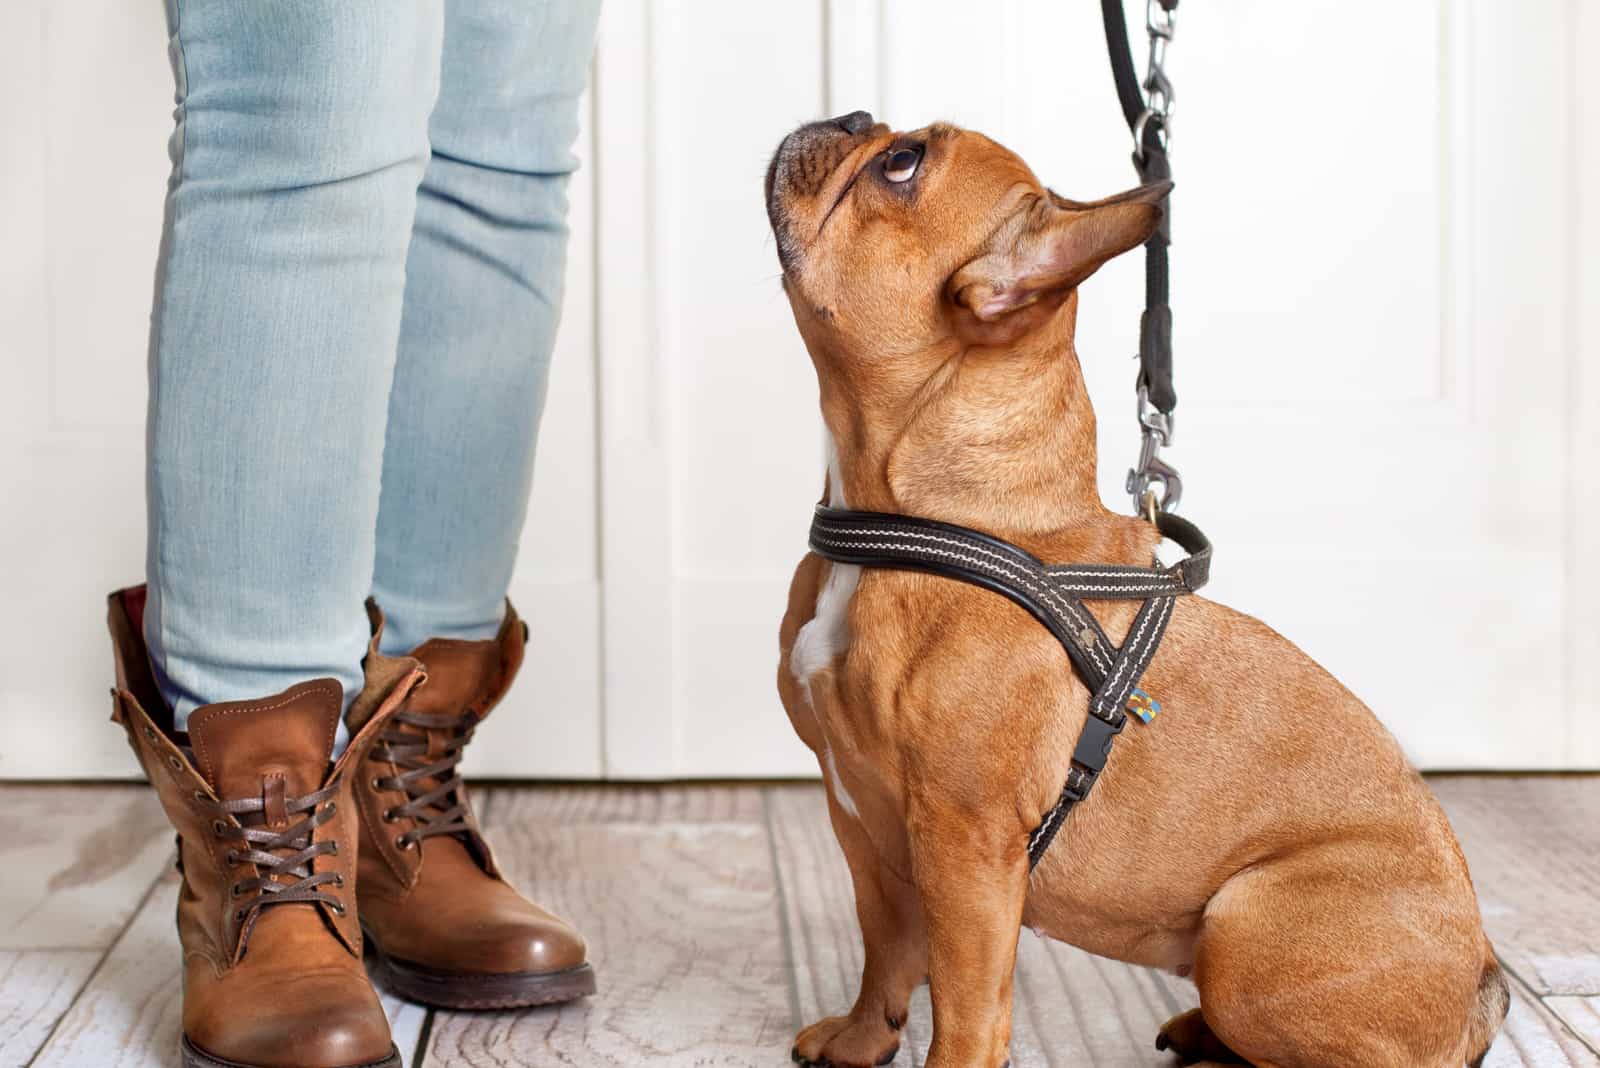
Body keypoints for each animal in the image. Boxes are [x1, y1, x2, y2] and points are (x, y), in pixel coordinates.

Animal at [768, 110, 1504, 1068]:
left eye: (900, 164)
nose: (851, 118)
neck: (924, 522)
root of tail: (1484, 977)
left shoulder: (964, 844)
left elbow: (965, 1006)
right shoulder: (860, 818)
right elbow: (884, 944)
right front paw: (861, 1039)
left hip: (1245, 927)